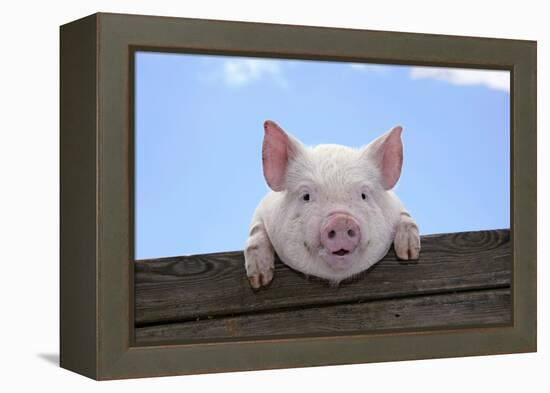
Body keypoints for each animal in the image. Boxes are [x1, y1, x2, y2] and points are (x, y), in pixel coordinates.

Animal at [246, 119, 422, 288]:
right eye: (306, 196)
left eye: (364, 195)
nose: (341, 220)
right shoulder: (262, 209)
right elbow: (256, 230)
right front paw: (260, 281)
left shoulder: (397, 205)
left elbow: (406, 216)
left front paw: (409, 254)